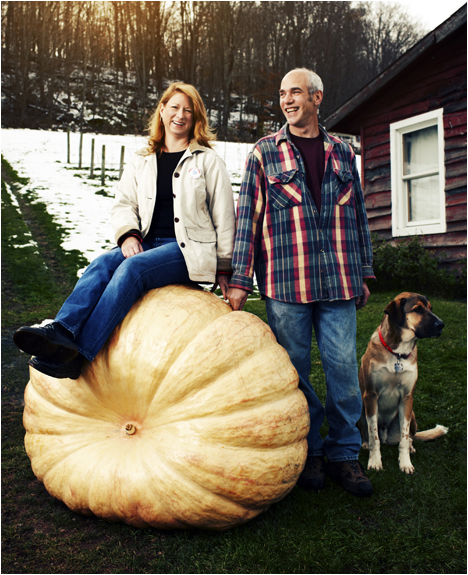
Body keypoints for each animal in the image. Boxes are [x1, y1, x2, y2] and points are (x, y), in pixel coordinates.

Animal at [360, 294, 448, 474]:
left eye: (431, 308)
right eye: (418, 309)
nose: (441, 325)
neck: (398, 353)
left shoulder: (407, 398)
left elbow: (405, 436)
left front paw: (405, 463)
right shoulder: (371, 395)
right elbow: (373, 435)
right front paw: (375, 461)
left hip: (412, 414)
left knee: (410, 437)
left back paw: (411, 447)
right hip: (360, 409)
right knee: (367, 431)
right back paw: (365, 443)